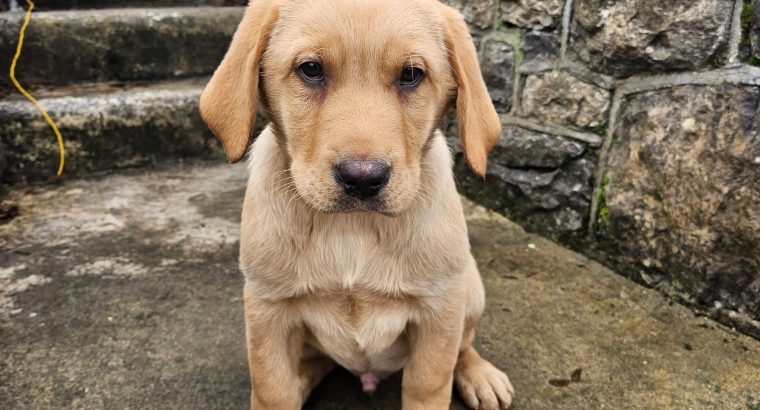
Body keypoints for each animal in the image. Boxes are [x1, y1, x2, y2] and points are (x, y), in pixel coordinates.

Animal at [199, 0, 512, 410]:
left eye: (411, 74)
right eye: (311, 69)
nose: (362, 179)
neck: (353, 226)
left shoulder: (439, 312)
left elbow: (428, 386)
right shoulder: (268, 310)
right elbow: (272, 390)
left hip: (469, 288)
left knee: (464, 344)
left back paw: (478, 375)